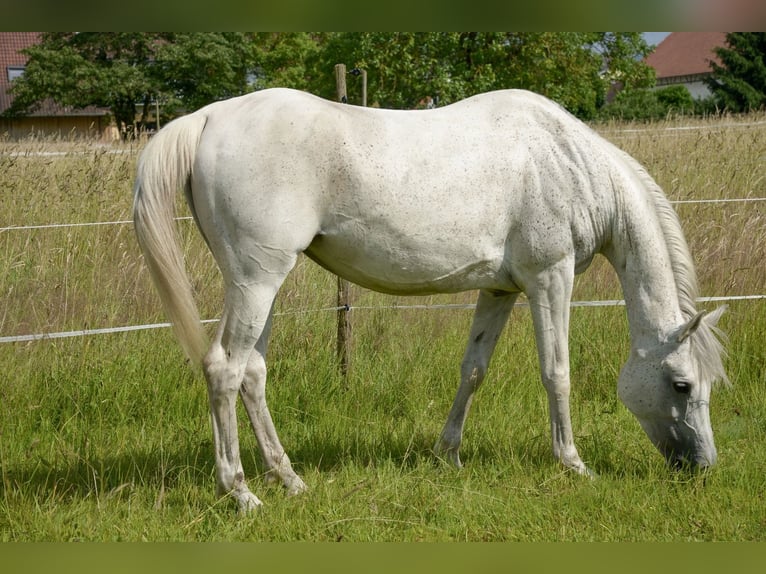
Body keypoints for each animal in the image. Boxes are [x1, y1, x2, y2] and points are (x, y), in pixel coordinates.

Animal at [134, 86, 732, 512]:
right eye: (681, 384)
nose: (703, 466)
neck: (568, 161)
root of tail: (208, 117)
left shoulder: (499, 289)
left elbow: (473, 370)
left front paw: (448, 455)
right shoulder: (550, 279)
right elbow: (556, 371)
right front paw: (572, 463)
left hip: (260, 284)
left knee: (253, 373)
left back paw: (290, 479)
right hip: (257, 281)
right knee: (224, 369)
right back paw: (241, 493)